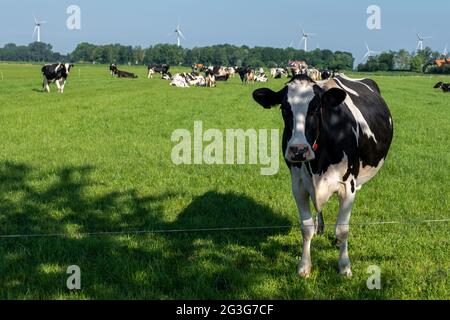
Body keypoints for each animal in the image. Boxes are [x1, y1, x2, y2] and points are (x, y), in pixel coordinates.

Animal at [253, 74, 394, 276]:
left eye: (315, 108)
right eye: (284, 108)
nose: (298, 150)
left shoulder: (348, 187)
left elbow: (342, 229)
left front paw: (344, 266)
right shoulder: (298, 186)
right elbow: (306, 228)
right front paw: (304, 267)